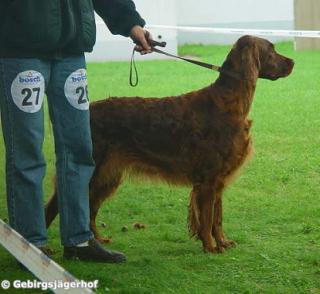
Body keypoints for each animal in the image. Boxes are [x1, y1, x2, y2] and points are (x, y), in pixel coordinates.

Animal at [46, 36, 294, 253]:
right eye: (271, 49)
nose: (293, 62)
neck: (228, 101)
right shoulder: (208, 179)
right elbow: (207, 218)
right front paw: (211, 247)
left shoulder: (219, 180)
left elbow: (218, 217)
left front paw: (223, 242)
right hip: (93, 171)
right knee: (57, 206)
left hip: (107, 176)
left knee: (89, 210)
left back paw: (98, 241)